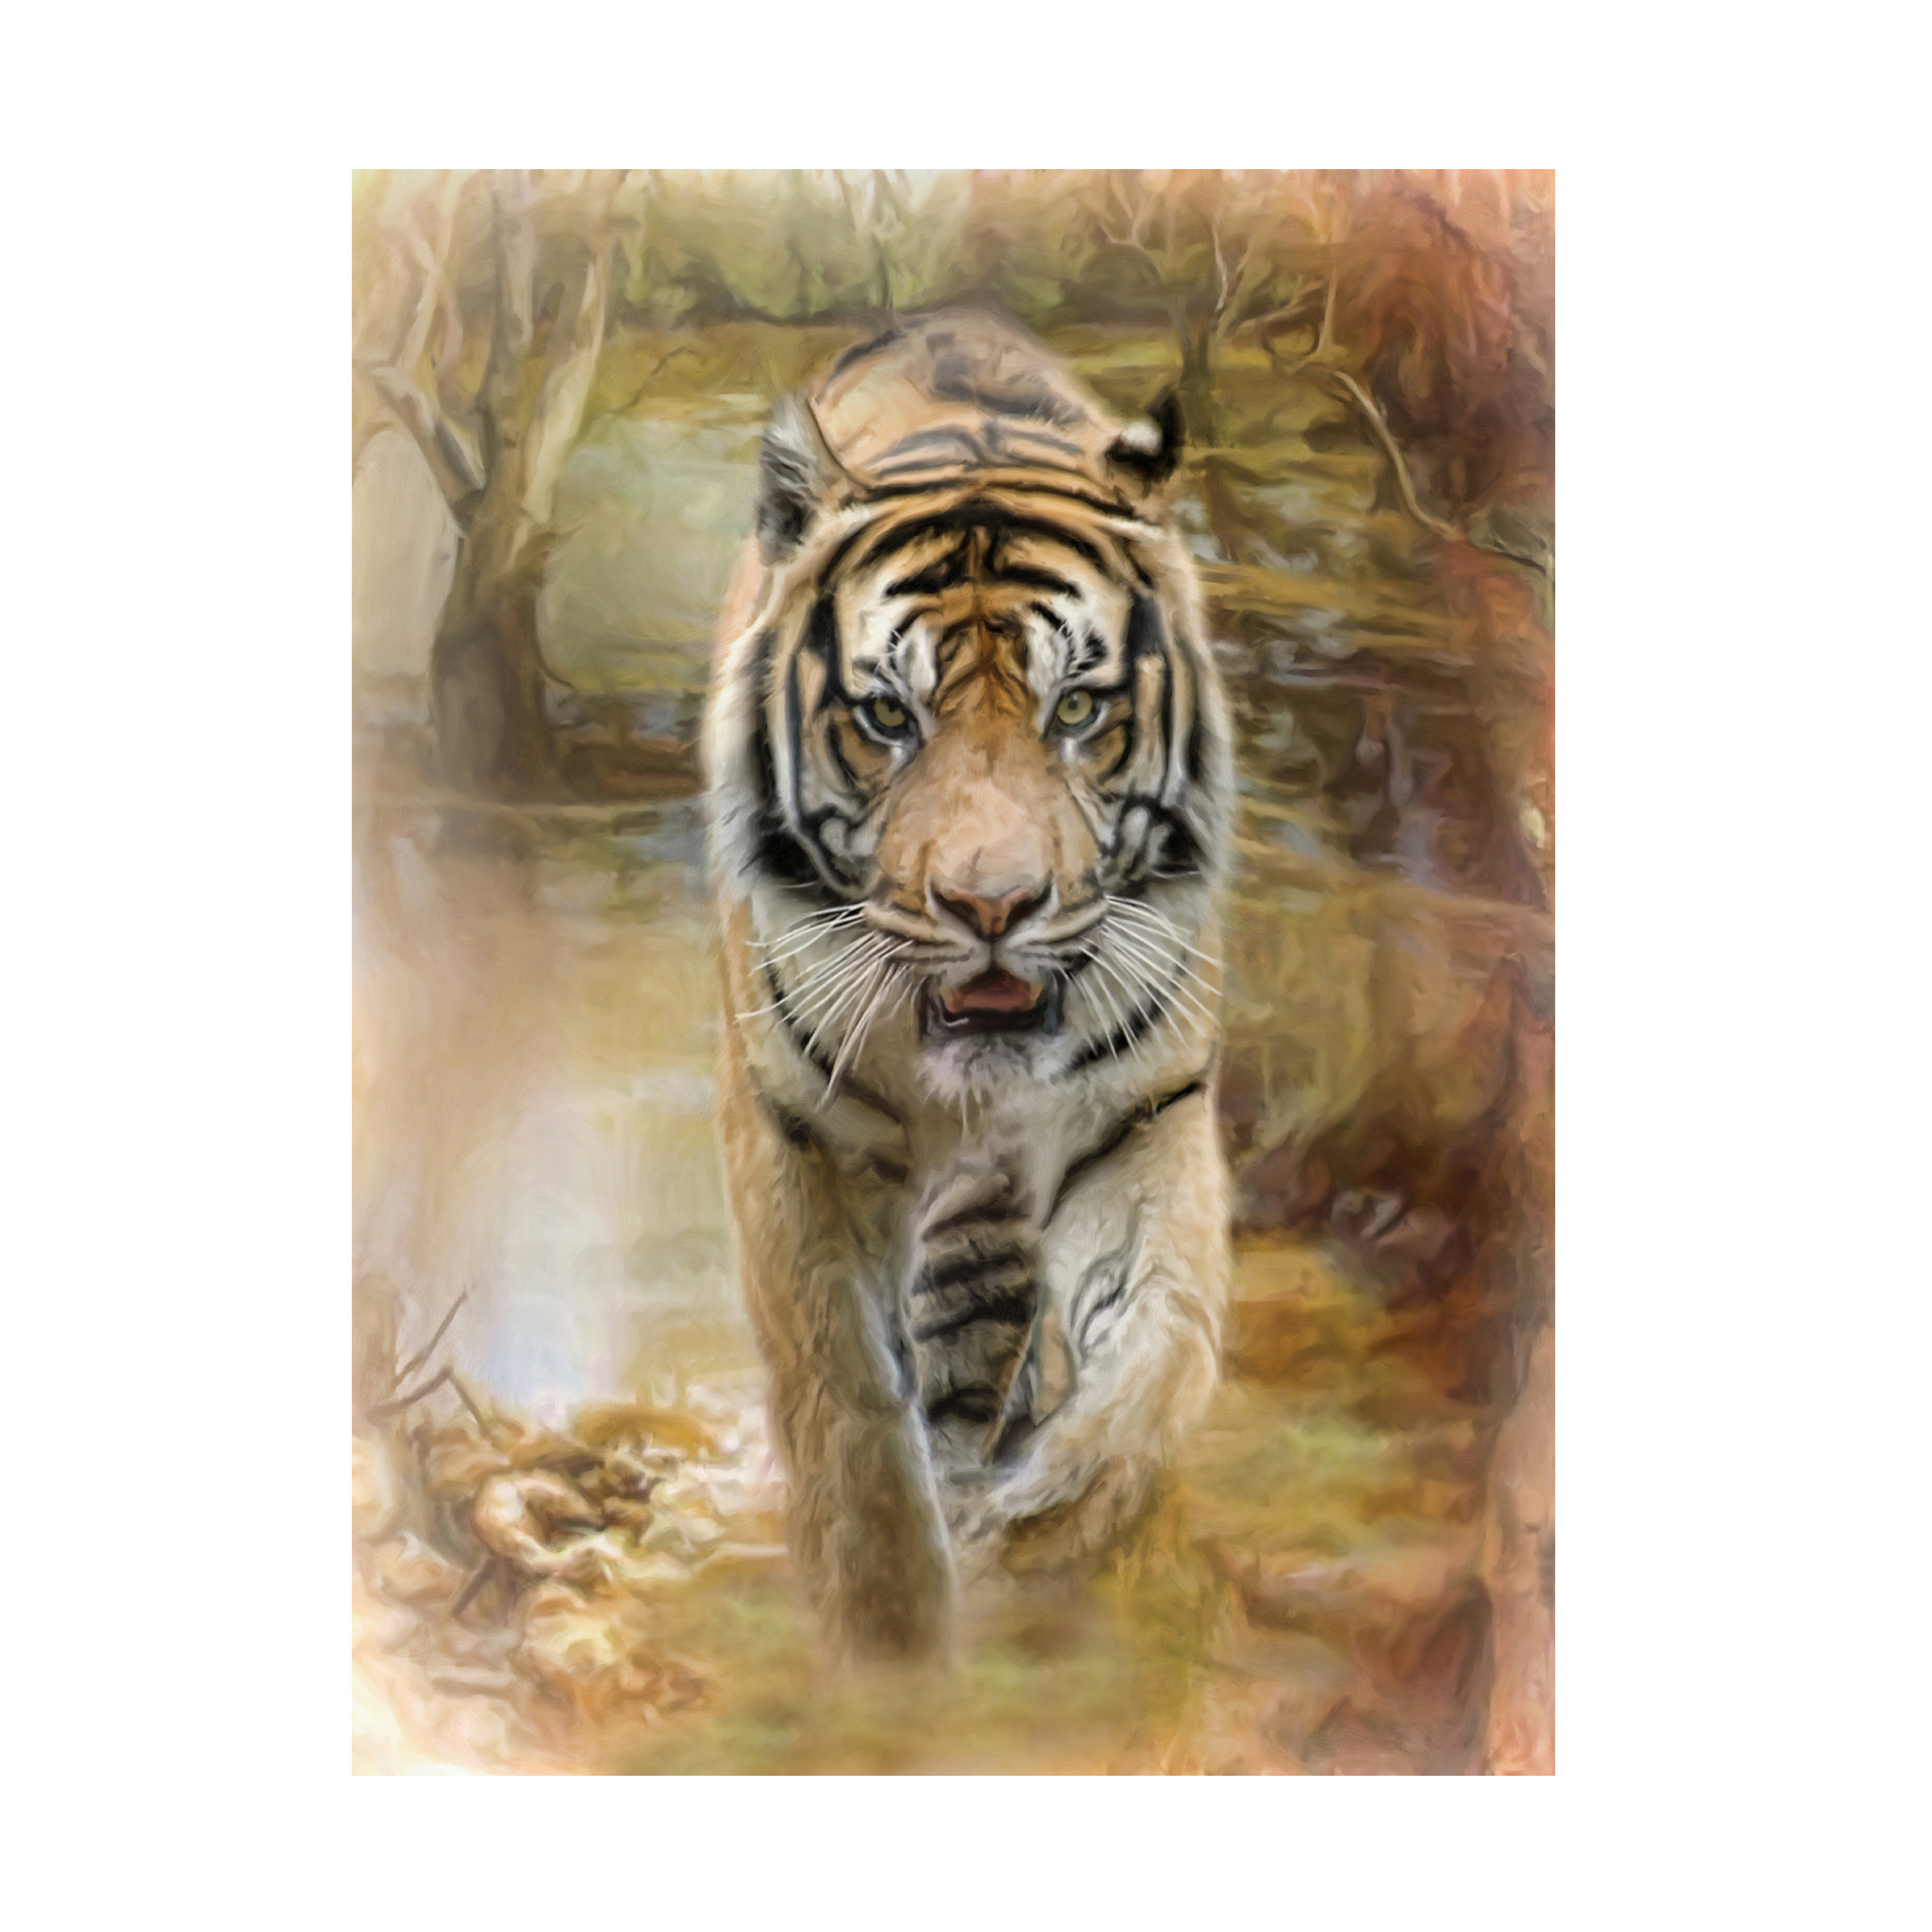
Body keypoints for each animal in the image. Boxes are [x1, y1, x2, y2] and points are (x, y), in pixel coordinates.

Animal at [702, 307, 1234, 1663]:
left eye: (1079, 708)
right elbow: (843, 1400)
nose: (994, 908)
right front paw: (888, 1640)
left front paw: (1052, 1526)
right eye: (888, 717)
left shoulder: (1142, 1113)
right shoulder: (796, 1132)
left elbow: (1164, 1339)